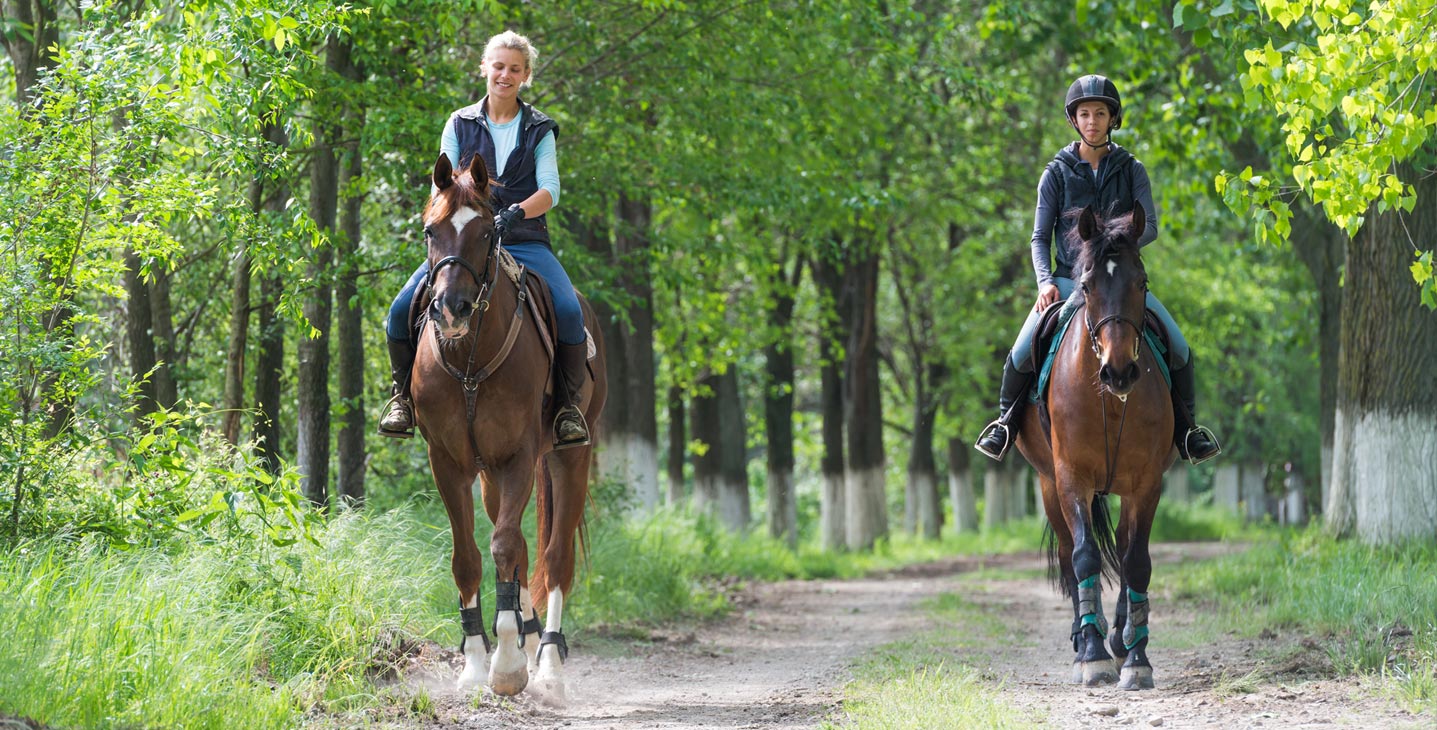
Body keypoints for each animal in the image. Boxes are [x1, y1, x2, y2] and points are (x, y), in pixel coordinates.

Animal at [410, 150, 606, 704]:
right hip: (490, 475)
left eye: (484, 232)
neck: (469, 360)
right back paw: (530, 638)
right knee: (517, 544)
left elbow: (503, 546)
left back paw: (549, 667)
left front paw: (507, 666)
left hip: (567, 456)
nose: (451, 309)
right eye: (431, 231)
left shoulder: (520, 457)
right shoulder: (449, 462)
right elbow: (469, 556)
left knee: (555, 557)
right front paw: (477, 664)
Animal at [1017, 204, 1172, 689]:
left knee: (1121, 551)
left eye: (1141, 283)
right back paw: (1086, 637)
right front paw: (1092, 656)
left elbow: (1136, 561)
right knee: (1069, 557)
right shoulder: (1071, 479)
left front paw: (1137, 659)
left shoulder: (1146, 484)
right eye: (1086, 286)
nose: (1118, 372)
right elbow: (1084, 558)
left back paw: (1120, 637)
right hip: (1048, 486)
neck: (1110, 402)